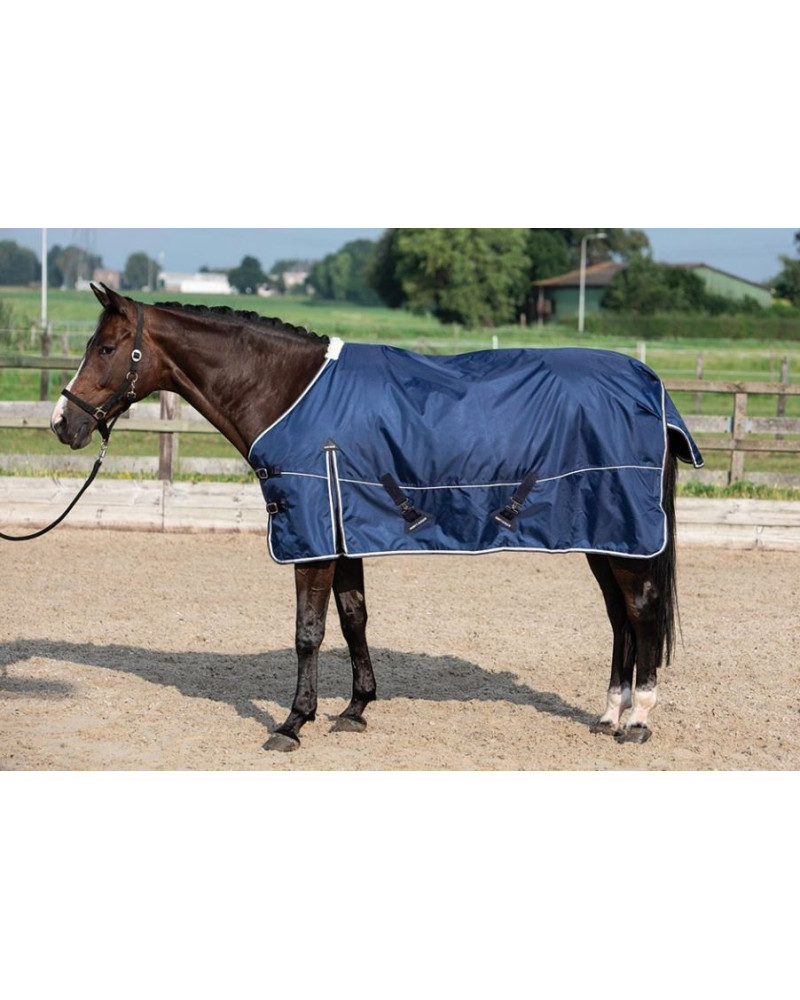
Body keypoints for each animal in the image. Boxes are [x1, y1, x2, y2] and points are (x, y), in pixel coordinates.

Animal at [50, 283, 702, 750]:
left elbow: (308, 632)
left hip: (625, 534)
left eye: (105, 348)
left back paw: (637, 720)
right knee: (620, 618)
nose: (63, 422)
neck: (289, 392)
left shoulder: (311, 535)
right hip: (606, 535)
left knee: (641, 612)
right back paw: (609, 714)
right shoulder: (344, 532)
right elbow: (353, 618)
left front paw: (293, 723)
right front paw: (356, 708)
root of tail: (651, 387)